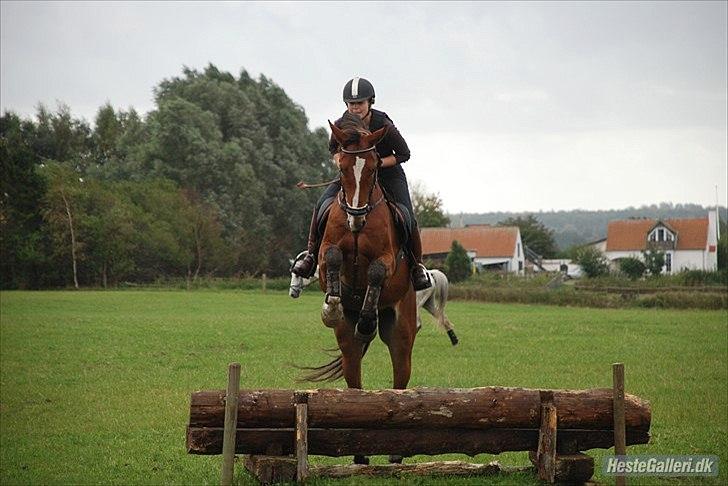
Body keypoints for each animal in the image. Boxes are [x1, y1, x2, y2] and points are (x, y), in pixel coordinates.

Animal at [288, 254, 456, 346]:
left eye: (297, 274)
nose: (292, 293)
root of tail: (430, 274)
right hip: (428, 304)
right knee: (443, 318)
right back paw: (454, 341)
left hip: (416, 303)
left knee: (418, 322)